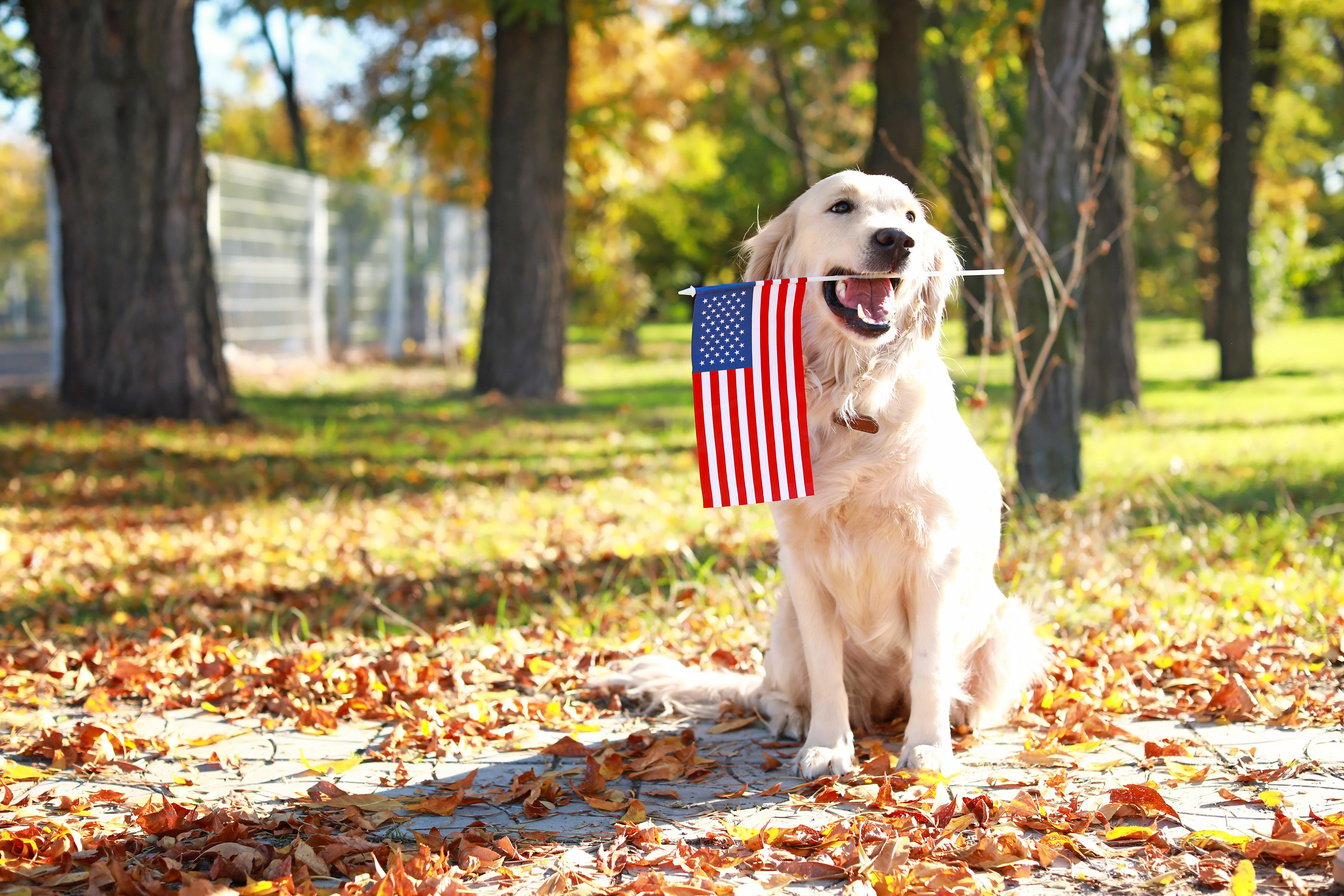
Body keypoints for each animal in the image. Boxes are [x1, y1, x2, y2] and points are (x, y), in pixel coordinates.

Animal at [602, 169, 1048, 779]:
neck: (851, 394)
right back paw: (793, 717)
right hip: (785, 623)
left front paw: (927, 747)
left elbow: (930, 667)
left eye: (911, 217)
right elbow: (826, 673)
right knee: (770, 692)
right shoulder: (805, 567)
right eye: (841, 207)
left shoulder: (933, 563)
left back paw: (960, 718)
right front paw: (828, 745)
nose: (897, 241)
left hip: (1008, 627)